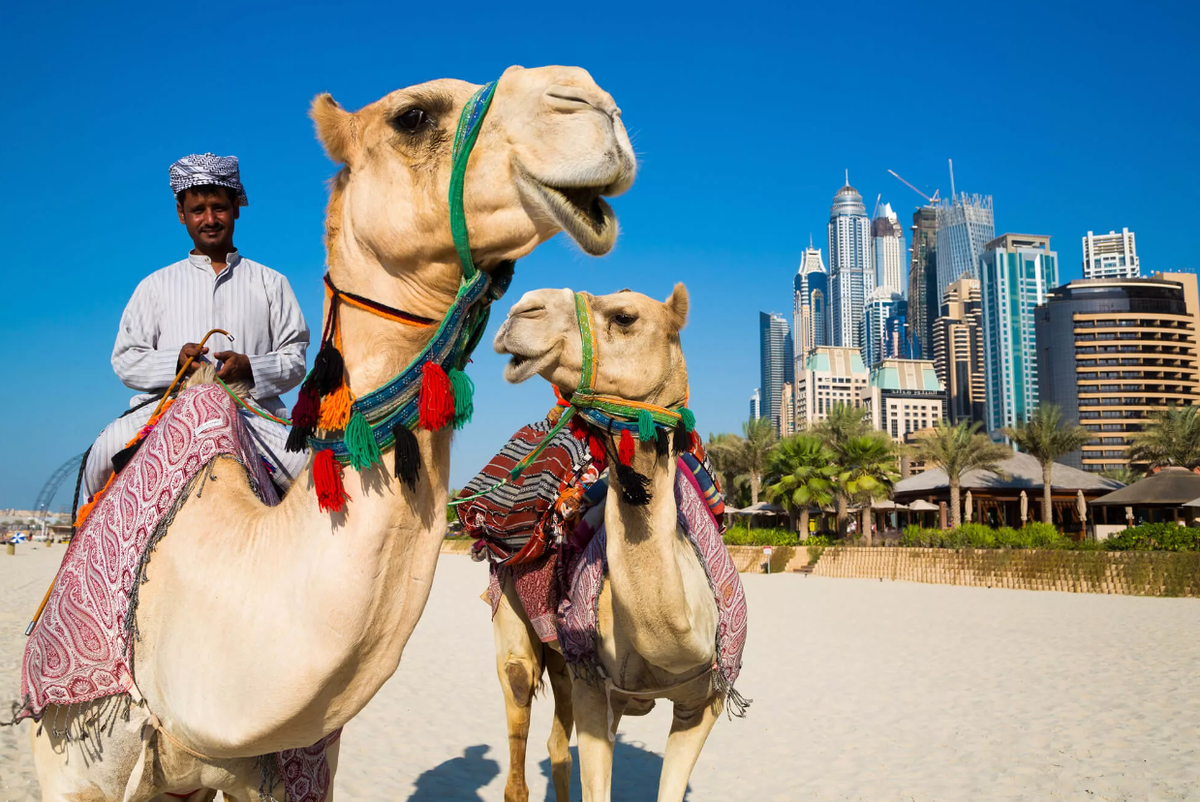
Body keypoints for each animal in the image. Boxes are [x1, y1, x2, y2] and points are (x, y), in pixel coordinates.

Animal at [489, 286, 734, 802]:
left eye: (625, 317)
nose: (521, 309)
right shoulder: (594, 689)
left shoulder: (704, 702)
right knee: (518, 689)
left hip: (567, 665)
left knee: (556, 745)